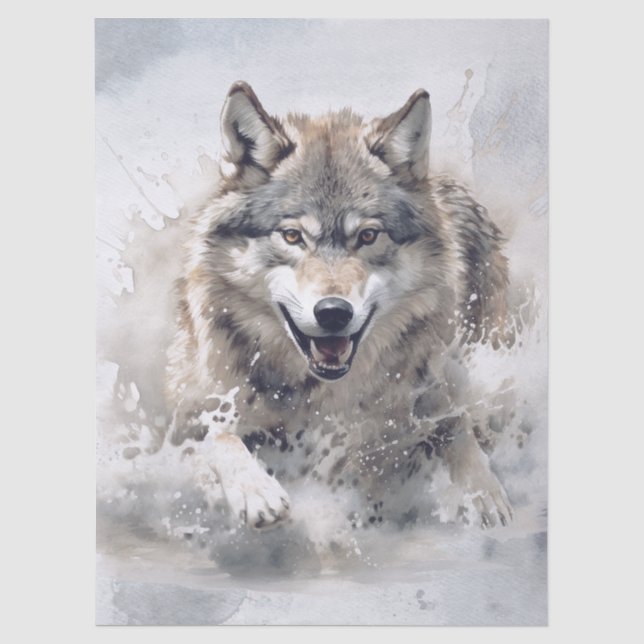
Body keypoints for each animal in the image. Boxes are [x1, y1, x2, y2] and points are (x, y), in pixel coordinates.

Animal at [166, 81, 515, 531]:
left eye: (367, 236)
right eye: (292, 236)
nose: (333, 312)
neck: (319, 396)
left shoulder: (432, 382)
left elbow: (454, 423)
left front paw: (480, 493)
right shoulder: (187, 416)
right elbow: (217, 437)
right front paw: (255, 491)